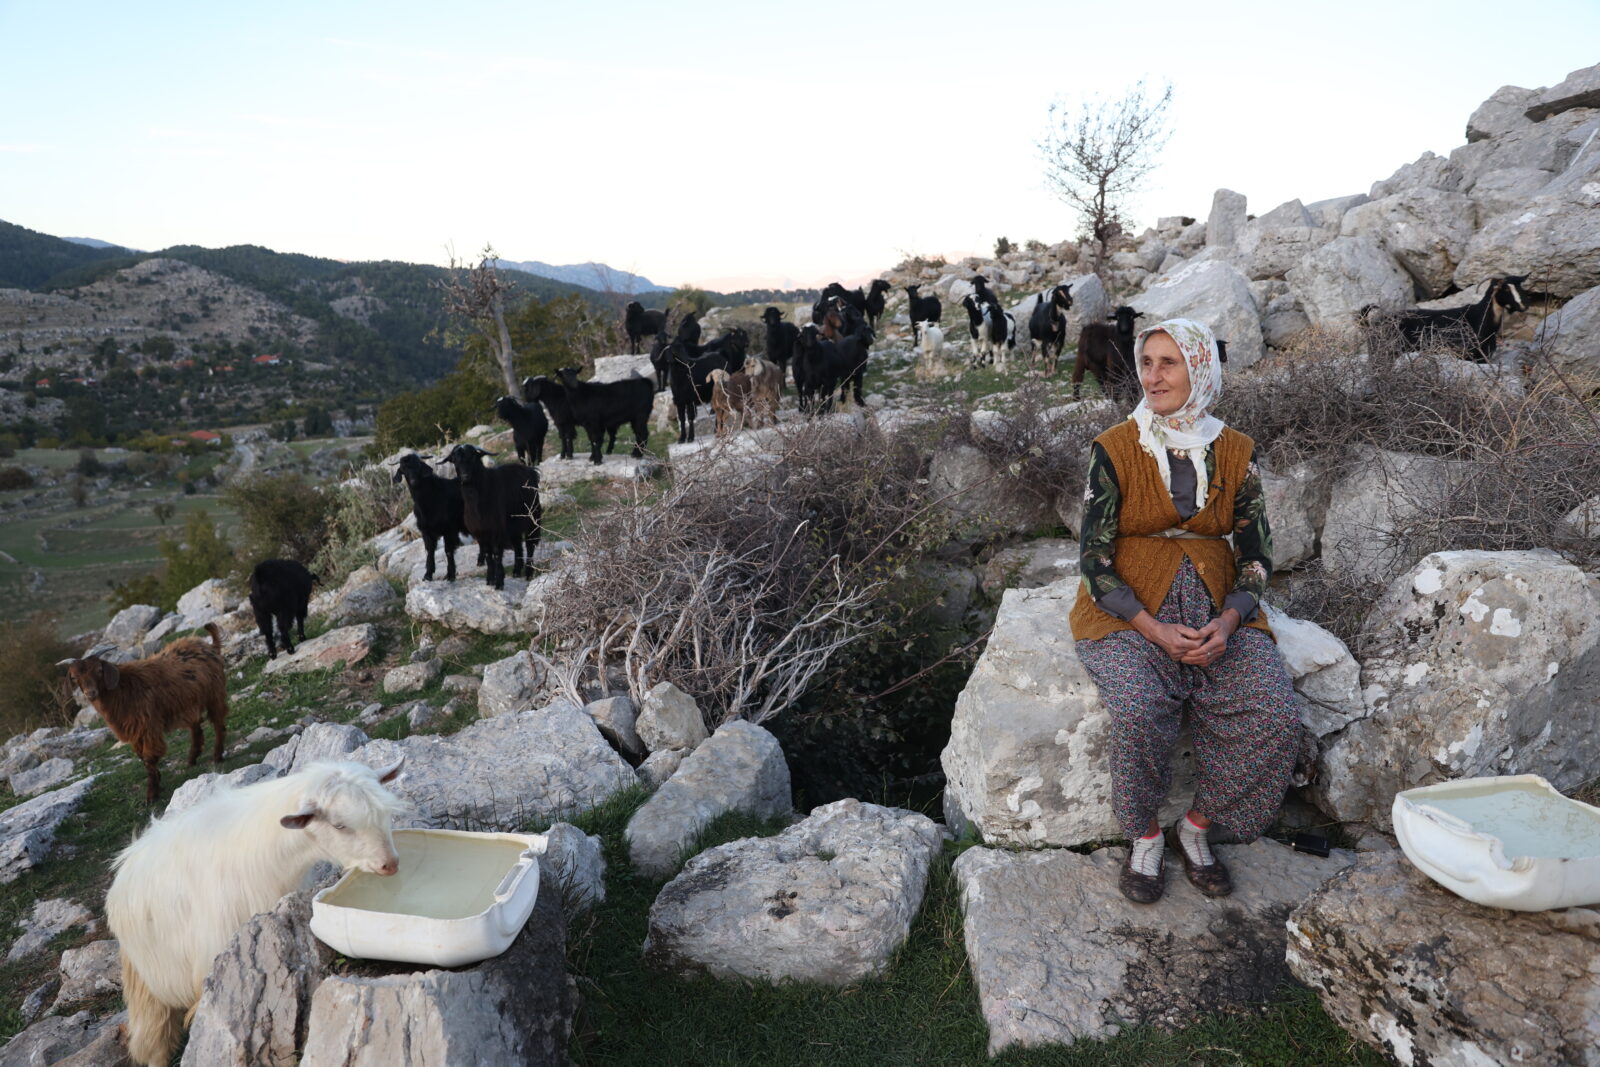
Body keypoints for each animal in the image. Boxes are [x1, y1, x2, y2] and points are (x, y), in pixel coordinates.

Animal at [63, 620, 228, 806]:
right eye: (74, 677)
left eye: (99, 670)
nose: (90, 693)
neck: (123, 689)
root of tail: (210, 647)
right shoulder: (134, 730)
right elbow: (141, 757)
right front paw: (157, 781)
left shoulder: (147, 726)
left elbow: (149, 758)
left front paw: (151, 795)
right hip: (189, 701)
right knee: (196, 725)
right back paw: (192, 758)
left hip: (214, 693)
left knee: (218, 723)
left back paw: (217, 756)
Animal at [108, 758, 406, 1067]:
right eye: (340, 825)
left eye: (385, 812)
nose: (390, 864)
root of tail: (127, 860)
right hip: (149, 983)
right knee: (155, 1039)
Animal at [392, 454, 467, 585]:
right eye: (403, 469)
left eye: (418, 466)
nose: (413, 481)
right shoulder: (426, 532)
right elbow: (430, 551)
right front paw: (427, 575)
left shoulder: (449, 530)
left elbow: (448, 551)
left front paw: (450, 575)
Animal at [441, 444, 540, 591]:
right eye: (455, 460)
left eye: (473, 457)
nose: (465, 476)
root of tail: (531, 470)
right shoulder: (481, 533)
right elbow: (488, 555)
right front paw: (490, 580)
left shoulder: (496, 530)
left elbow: (497, 554)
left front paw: (499, 583)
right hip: (513, 525)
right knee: (518, 545)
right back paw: (516, 571)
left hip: (532, 518)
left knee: (530, 544)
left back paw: (528, 573)